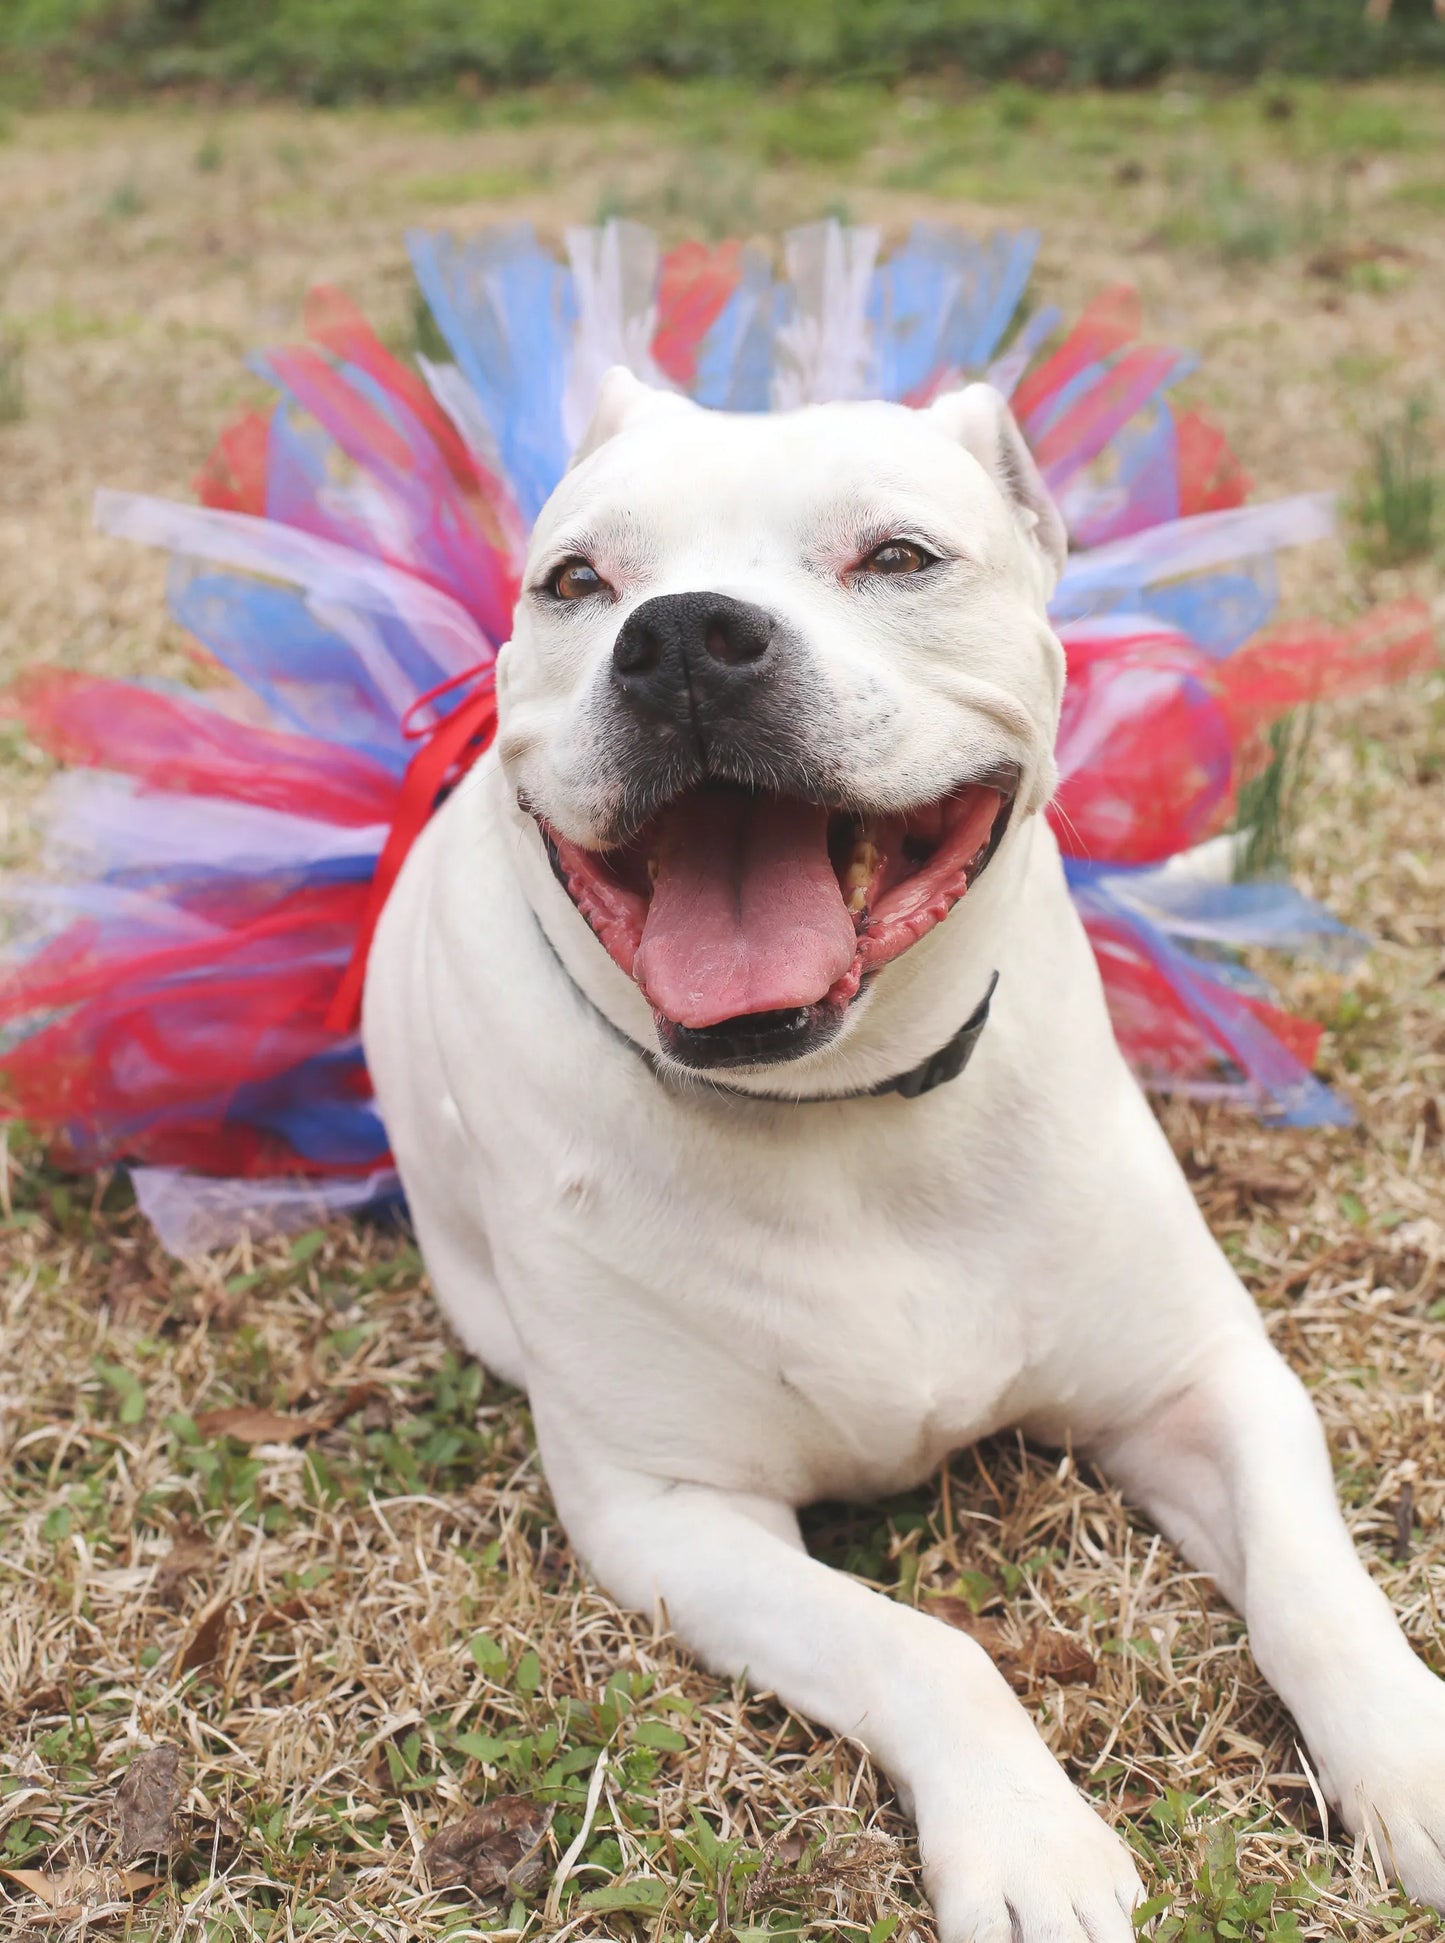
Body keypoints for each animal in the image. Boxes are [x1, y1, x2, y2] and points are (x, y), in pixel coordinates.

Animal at [363, 371, 1445, 1935]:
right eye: (574, 583)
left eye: (897, 557)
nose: (681, 638)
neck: (841, 1107)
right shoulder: (672, 1514)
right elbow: (920, 1644)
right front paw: (1027, 1834)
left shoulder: (1202, 1383)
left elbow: (1315, 1582)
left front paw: (1409, 1749)